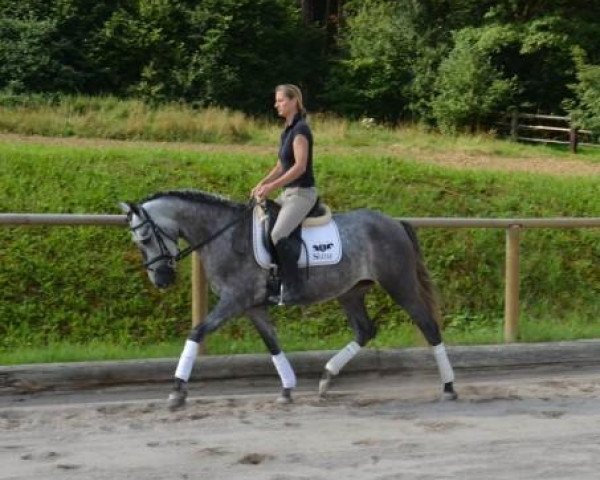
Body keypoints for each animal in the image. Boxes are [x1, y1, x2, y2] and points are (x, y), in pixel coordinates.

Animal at [119, 190, 458, 408]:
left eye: (145, 238)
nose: (161, 280)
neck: (225, 235)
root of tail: (394, 222)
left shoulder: (234, 300)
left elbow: (197, 331)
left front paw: (177, 391)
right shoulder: (252, 306)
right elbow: (272, 344)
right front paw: (287, 389)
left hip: (399, 285)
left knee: (429, 328)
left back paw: (449, 387)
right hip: (350, 292)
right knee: (365, 330)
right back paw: (326, 378)